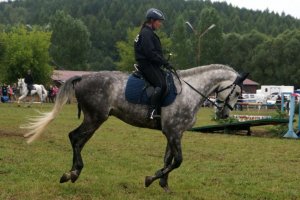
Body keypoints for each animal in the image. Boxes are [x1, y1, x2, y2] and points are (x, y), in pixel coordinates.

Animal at [23, 65, 247, 191]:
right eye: (237, 92)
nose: (224, 115)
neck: (190, 91)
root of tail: (83, 78)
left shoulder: (173, 133)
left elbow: (169, 159)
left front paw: (163, 184)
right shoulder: (174, 132)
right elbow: (178, 160)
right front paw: (150, 179)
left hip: (94, 119)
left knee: (78, 140)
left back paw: (71, 172)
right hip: (95, 118)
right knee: (75, 138)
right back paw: (73, 173)